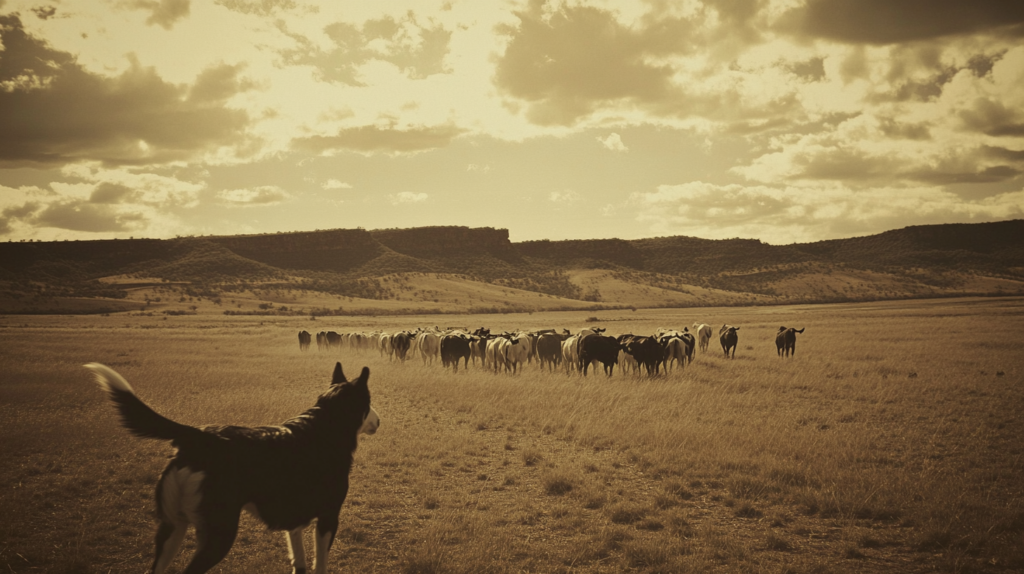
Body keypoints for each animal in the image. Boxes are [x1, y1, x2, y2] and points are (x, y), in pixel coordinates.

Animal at [83, 362, 380, 572]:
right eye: (368, 403)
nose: (380, 420)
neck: (325, 424)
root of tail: (200, 437)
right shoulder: (329, 516)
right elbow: (320, 563)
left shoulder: (294, 518)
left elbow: (300, 561)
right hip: (219, 534)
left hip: (172, 528)